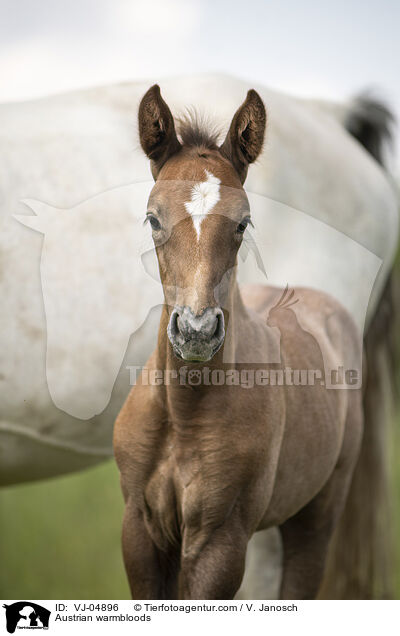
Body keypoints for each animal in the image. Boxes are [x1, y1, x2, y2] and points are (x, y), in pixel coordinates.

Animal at [114, 85, 364, 600]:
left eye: (243, 223)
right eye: (152, 219)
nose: (196, 331)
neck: (183, 414)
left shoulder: (219, 540)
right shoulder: (140, 531)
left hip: (316, 516)